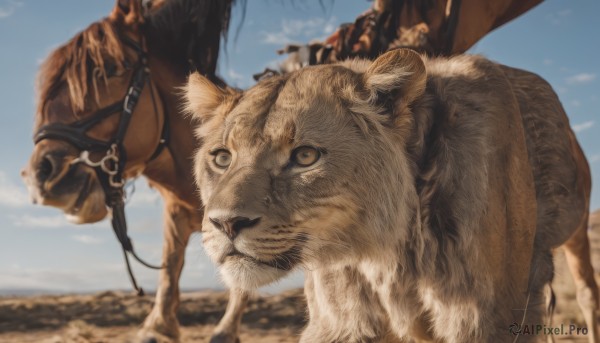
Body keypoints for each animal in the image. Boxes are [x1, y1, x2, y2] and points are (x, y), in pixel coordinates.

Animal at [21, 1, 246, 342]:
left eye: (112, 69)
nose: (40, 176)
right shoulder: (175, 213)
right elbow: (170, 265)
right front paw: (158, 326)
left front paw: (225, 330)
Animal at [184, 49, 596, 343]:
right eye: (222, 158)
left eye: (305, 157)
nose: (226, 223)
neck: (386, 250)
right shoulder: (341, 321)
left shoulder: (490, 316)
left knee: (588, 293)